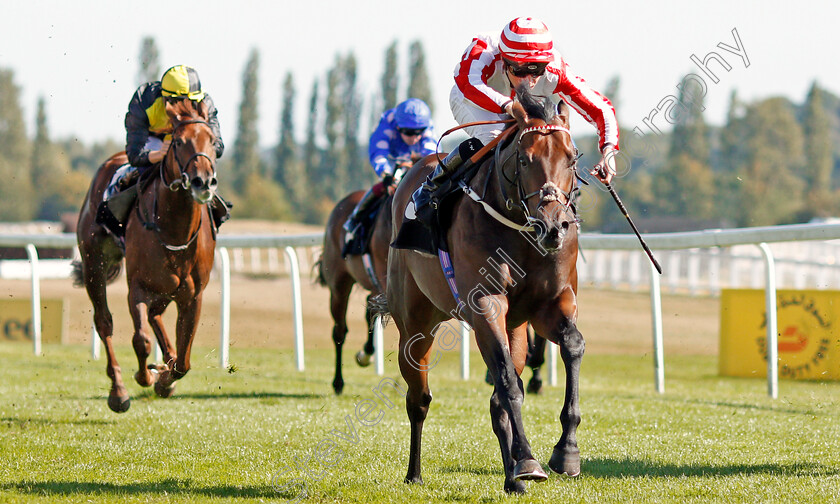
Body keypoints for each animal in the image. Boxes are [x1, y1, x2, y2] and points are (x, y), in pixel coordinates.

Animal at [72, 99, 218, 414]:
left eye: (212, 141)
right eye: (179, 141)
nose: (203, 182)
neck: (174, 229)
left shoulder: (193, 295)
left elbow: (184, 361)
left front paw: (165, 378)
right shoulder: (138, 286)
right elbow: (141, 340)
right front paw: (146, 376)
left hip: (167, 288)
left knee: (156, 317)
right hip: (94, 261)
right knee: (105, 321)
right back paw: (118, 390)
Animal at [388, 85, 584, 492]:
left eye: (572, 158)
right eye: (524, 159)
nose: (553, 227)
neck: (522, 234)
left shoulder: (550, 306)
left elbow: (572, 346)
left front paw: (566, 452)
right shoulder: (485, 305)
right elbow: (508, 381)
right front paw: (529, 460)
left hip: (516, 329)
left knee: (498, 403)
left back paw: (513, 479)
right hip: (415, 323)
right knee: (419, 397)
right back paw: (414, 473)